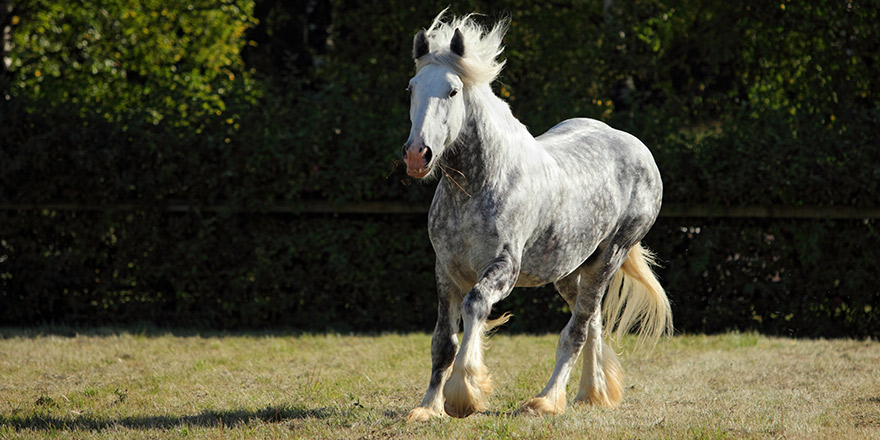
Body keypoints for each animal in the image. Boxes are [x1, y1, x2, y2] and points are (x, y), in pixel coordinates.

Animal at [400, 11, 672, 422]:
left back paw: (547, 400)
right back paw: (592, 394)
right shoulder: (445, 269)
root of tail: (638, 148)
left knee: (576, 330)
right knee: (592, 321)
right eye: (412, 88)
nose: (418, 155)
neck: (478, 185)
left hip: (609, 258)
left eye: (452, 91)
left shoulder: (503, 268)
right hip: (569, 270)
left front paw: (464, 395)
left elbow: (476, 306)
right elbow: (443, 342)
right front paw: (428, 407)